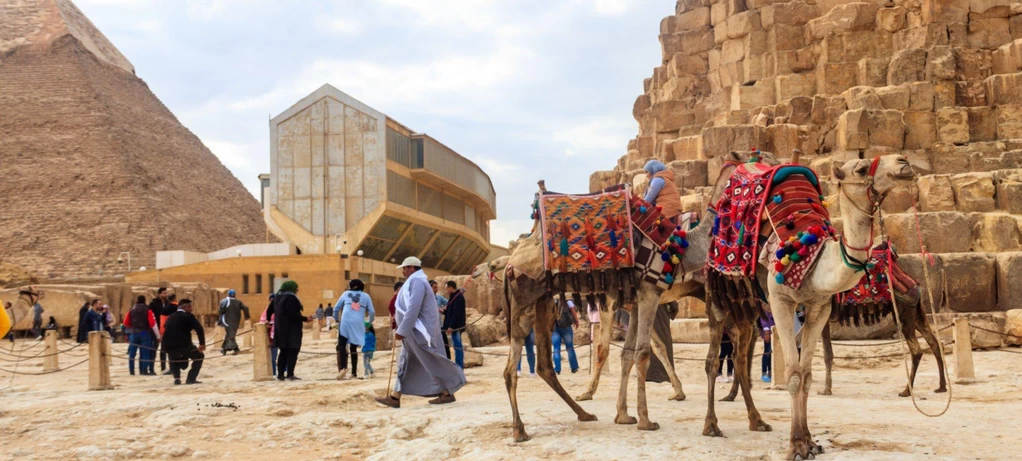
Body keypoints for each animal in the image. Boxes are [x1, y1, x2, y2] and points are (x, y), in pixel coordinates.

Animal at [504, 150, 780, 441]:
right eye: (762, 160)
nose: (783, 167)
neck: (684, 247)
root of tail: (511, 261)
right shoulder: (644, 294)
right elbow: (636, 352)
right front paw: (642, 418)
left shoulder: (636, 299)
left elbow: (630, 353)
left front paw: (626, 414)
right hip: (526, 299)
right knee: (516, 366)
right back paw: (522, 429)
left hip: (541, 301)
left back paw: (580, 415)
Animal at [707, 154, 915, 457]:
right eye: (861, 168)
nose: (903, 163)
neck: (815, 260)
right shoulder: (780, 301)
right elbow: (793, 374)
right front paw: (795, 445)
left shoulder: (819, 308)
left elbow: (806, 374)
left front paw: (809, 441)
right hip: (717, 291)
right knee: (713, 358)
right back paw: (710, 425)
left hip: (749, 305)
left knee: (740, 356)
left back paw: (757, 421)